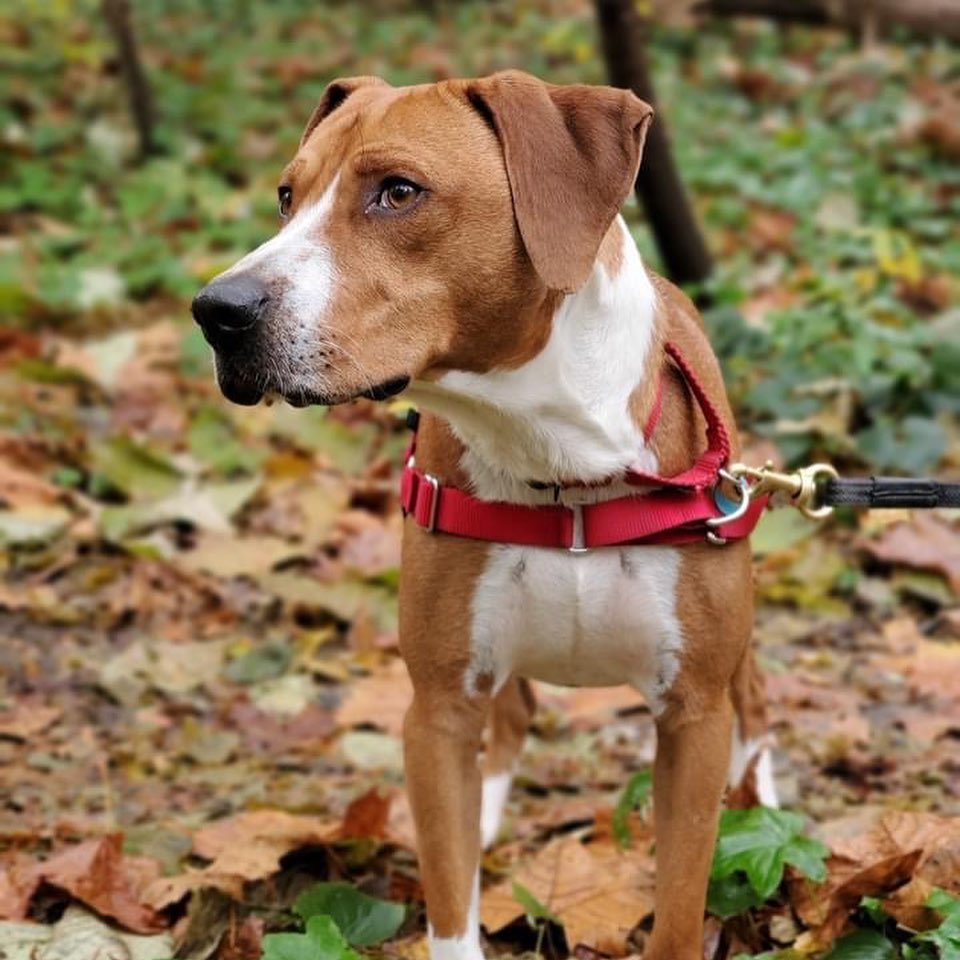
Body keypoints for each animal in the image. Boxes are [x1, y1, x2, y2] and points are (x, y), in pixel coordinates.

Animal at [191, 73, 776, 960]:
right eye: (288, 197)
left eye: (398, 192)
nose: (216, 310)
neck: (560, 466)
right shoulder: (436, 711)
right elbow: (449, 899)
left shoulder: (691, 717)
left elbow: (679, 907)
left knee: (756, 698)